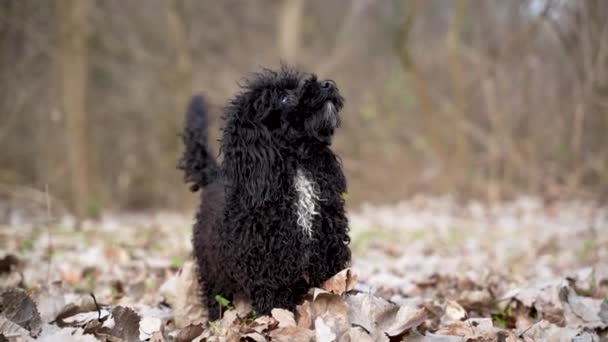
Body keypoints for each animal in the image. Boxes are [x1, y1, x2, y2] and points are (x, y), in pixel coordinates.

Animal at [178, 67, 352, 320]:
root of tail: (214, 177)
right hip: (215, 275)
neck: (296, 165)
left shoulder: (329, 255)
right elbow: (276, 308)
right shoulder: (270, 274)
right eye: (283, 98)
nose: (327, 84)